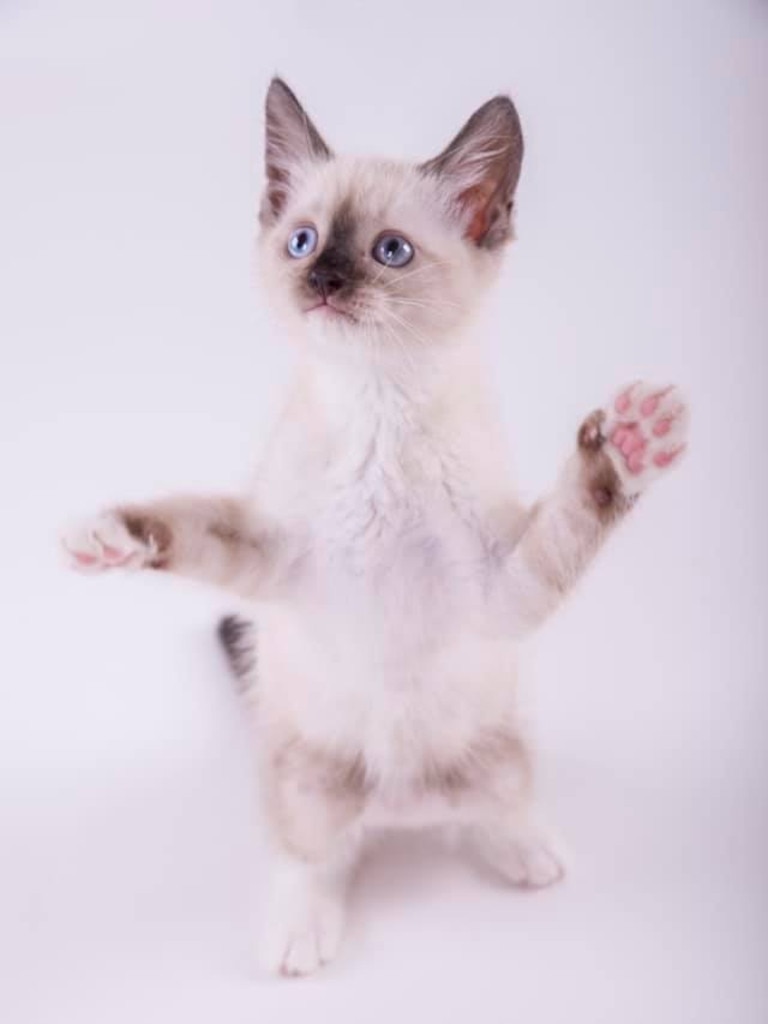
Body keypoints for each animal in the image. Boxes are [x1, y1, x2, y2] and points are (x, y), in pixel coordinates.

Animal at [61, 77, 692, 974]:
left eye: (389, 252)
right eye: (301, 241)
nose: (322, 280)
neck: (378, 408)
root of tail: (399, 807)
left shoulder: (504, 587)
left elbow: (580, 507)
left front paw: (632, 443)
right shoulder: (269, 557)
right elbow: (186, 523)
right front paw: (106, 536)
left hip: (500, 750)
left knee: (485, 810)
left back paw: (528, 853)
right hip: (305, 775)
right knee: (313, 854)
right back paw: (300, 937)